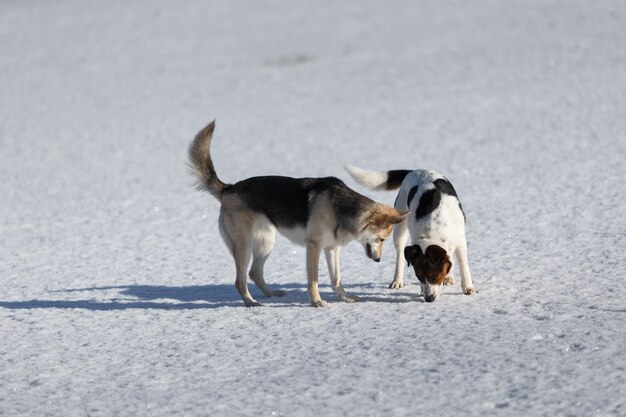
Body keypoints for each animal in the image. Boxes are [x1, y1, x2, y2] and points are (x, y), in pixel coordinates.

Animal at [188, 120, 408, 306]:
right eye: (382, 239)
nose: (378, 260)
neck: (340, 208)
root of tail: (229, 188)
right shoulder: (314, 247)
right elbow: (314, 280)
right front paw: (317, 302)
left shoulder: (332, 248)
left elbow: (336, 279)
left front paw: (345, 299)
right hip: (245, 246)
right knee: (240, 280)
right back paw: (251, 302)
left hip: (266, 243)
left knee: (254, 273)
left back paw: (271, 294)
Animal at [344, 164, 476, 300]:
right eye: (419, 276)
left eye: (434, 275)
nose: (428, 298)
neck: (433, 233)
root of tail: (416, 170)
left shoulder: (460, 241)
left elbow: (463, 265)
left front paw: (468, 287)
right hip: (400, 225)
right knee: (400, 256)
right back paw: (397, 281)